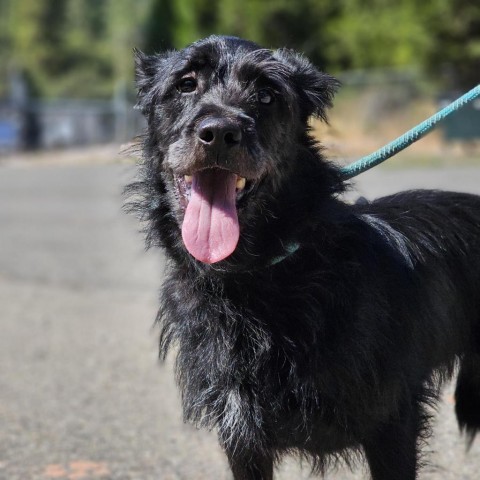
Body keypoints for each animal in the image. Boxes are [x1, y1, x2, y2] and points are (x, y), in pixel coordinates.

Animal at [129, 35, 480, 478]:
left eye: (267, 95)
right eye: (186, 83)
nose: (221, 131)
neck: (257, 278)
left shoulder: (392, 423)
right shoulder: (242, 437)